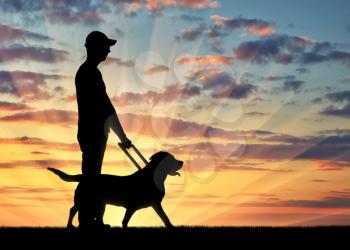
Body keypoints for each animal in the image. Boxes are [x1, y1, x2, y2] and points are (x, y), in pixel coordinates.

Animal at [47, 151, 183, 228]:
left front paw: (171, 227)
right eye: (171, 159)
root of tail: (84, 177)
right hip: (84, 200)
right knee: (73, 210)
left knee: (96, 215)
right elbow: (125, 221)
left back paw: (102, 226)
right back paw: (70, 225)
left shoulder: (155, 204)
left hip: (100, 204)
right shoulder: (132, 206)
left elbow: (165, 217)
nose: (181, 162)